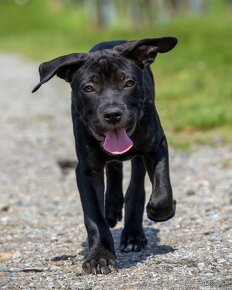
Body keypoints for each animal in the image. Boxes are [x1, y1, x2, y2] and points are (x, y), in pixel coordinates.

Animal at [32, 36, 178, 274]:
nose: (112, 114)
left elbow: (162, 191)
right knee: (114, 168)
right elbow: (94, 219)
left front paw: (161, 211)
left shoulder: (156, 145)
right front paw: (100, 256)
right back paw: (112, 206)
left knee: (136, 185)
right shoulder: (86, 170)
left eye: (129, 83)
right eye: (89, 88)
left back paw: (133, 234)